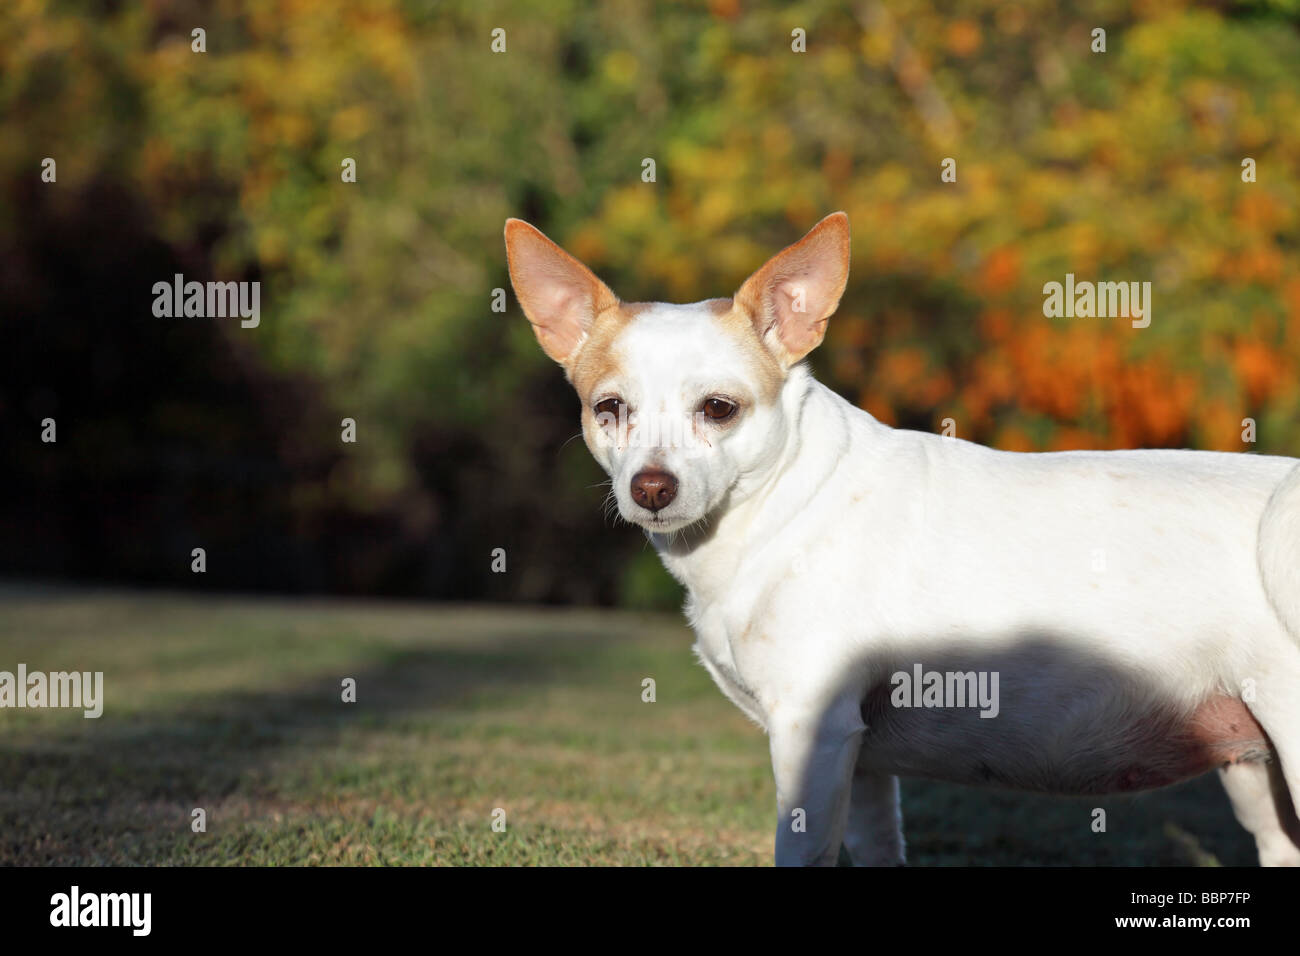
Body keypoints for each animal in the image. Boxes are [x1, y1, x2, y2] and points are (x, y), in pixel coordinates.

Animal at [501, 210, 1300, 868]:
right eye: (609, 410)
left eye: (719, 409)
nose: (651, 487)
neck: (782, 508)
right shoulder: (862, 761)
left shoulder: (812, 734)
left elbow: (800, 851)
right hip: (1253, 772)